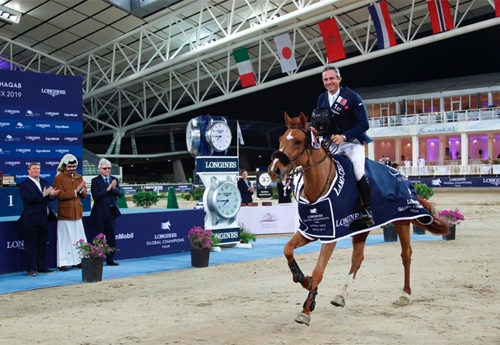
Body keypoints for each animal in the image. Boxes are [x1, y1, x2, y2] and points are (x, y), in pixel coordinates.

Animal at [270, 113, 450, 326]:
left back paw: (405, 294)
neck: (320, 185)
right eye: (281, 139)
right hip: (360, 229)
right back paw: (341, 295)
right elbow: (287, 249)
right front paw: (302, 279)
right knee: (357, 258)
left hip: (402, 221)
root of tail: (403, 178)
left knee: (406, 254)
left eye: (297, 141)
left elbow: (318, 271)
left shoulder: (331, 237)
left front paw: (306, 308)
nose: (274, 170)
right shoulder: (311, 230)